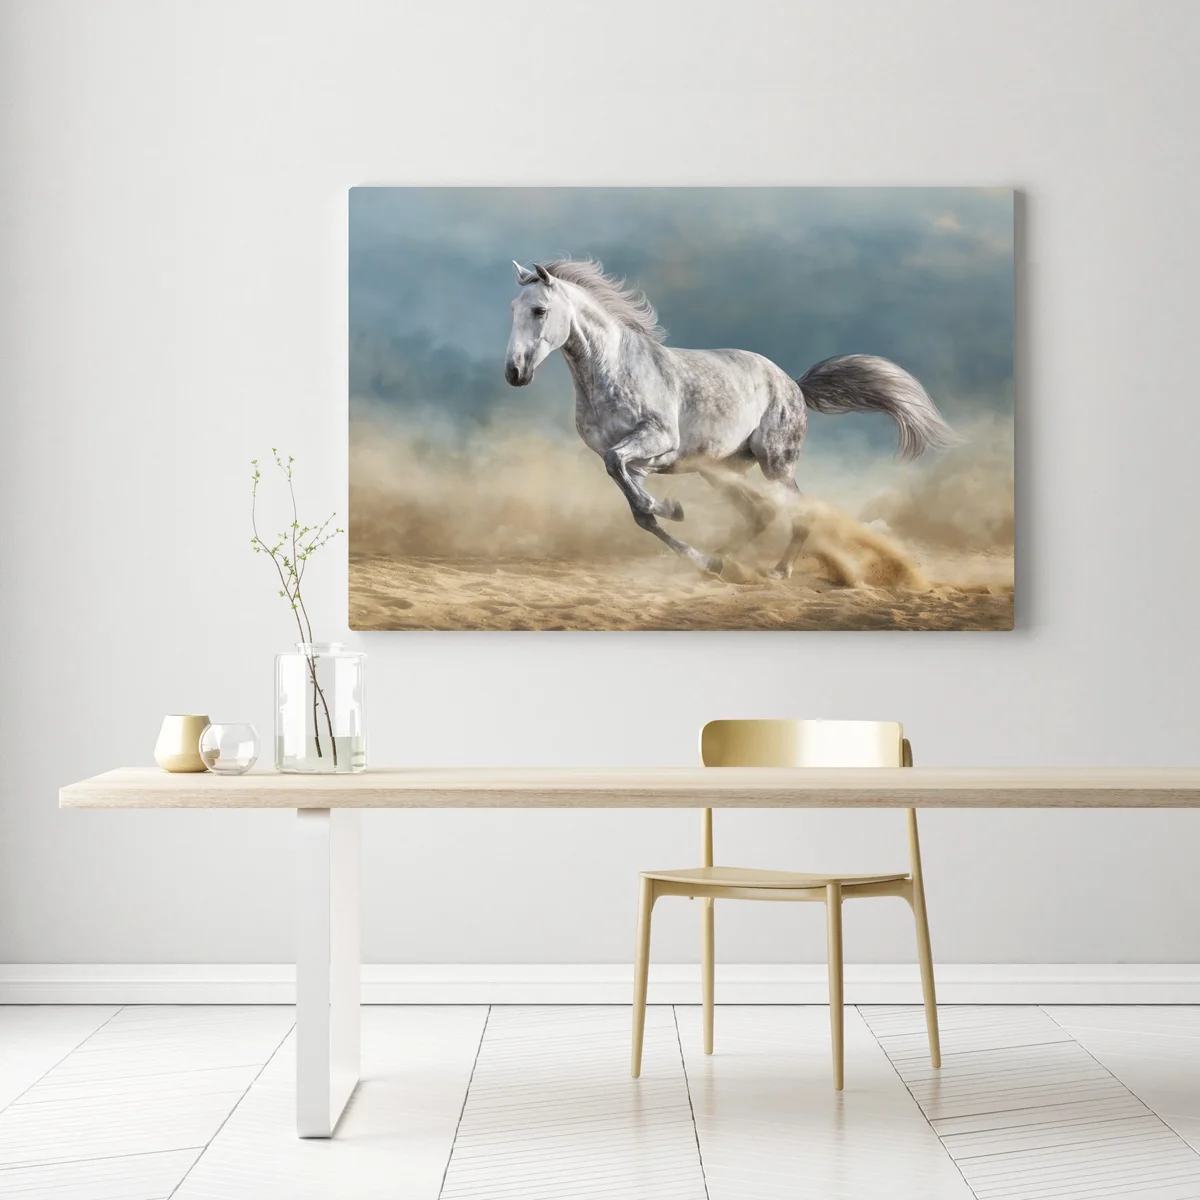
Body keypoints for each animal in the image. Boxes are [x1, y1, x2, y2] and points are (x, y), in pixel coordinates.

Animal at [504, 259, 959, 580]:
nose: (514, 373)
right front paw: (688, 539)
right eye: (513, 309)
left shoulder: (656, 441)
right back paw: (722, 561)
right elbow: (638, 508)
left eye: (540, 310)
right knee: (759, 514)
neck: (612, 369)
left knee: (799, 511)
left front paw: (672, 508)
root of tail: (792, 385)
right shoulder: (634, 460)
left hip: (776, 464)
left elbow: (632, 485)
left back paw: (779, 570)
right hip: (720, 469)